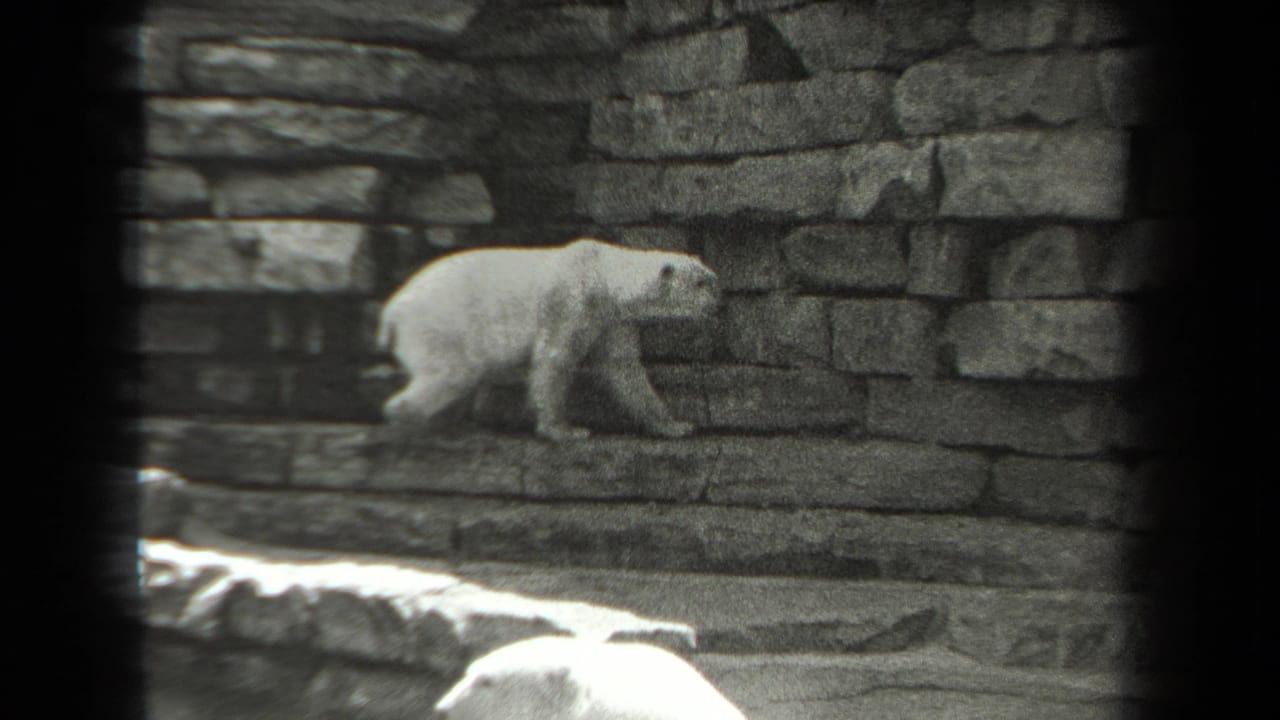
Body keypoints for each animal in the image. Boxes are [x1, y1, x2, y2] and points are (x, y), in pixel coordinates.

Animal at [377, 238, 719, 442]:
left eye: (710, 279)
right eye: (701, 283)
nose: (720, 302)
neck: (601, 273)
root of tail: (393, 310)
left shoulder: (610, 319)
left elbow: (623, 369)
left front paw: (676, 425)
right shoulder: (568, 302)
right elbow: (554, 358)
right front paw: (566, 430)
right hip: (442, 325)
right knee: (452, 372)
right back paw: (413, 421)